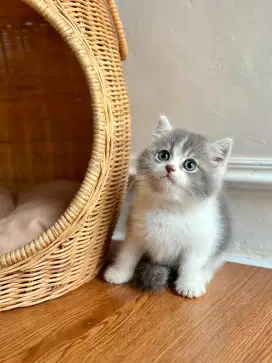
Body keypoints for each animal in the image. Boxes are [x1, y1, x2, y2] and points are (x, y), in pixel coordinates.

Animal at [104, 114, 232, 298]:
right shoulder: (136, 231)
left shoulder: (200, 238)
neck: (168, 207)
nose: (170, 167)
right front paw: (119, 272)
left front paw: (189, 284)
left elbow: (192, 263)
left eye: (190, 165)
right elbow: (128, 253)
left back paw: (203, 275)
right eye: (164, 155)